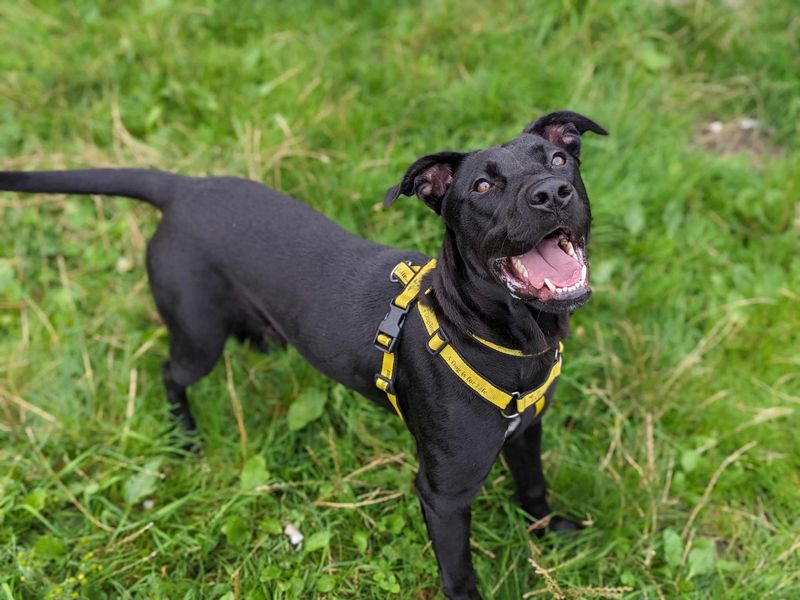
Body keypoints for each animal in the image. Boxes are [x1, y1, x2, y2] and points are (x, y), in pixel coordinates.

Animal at [1, 110, 608, 596]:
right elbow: (459, 573)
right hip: (197, 334)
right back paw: (186, 438)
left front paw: (551, 533)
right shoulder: (444, 494)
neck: (500, 337)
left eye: (559, 158)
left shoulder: (527, 432)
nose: (552, 193)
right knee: (170, 373)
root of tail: (182, 188)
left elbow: (534, 488)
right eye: (482, 185)